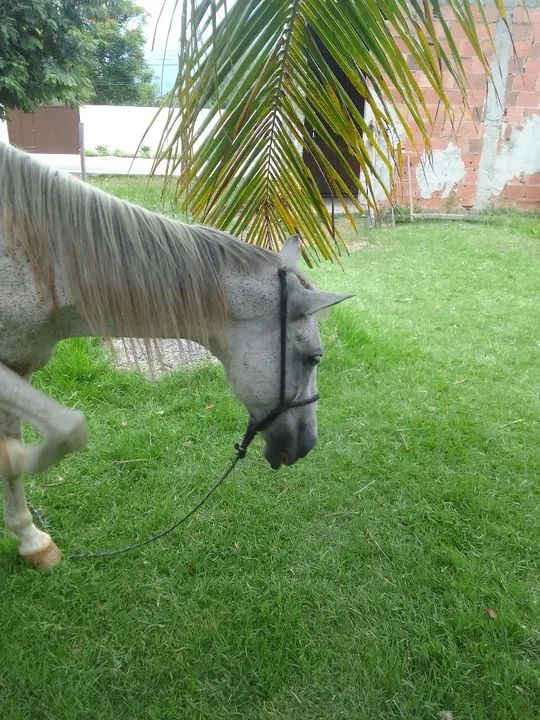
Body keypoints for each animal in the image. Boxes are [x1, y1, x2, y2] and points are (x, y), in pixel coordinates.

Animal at [0, 142, 350, 569]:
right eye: (313, 357)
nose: (308, 444)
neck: (40, 259)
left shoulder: (18, 363)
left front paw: (31, 539)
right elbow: (58, 434)